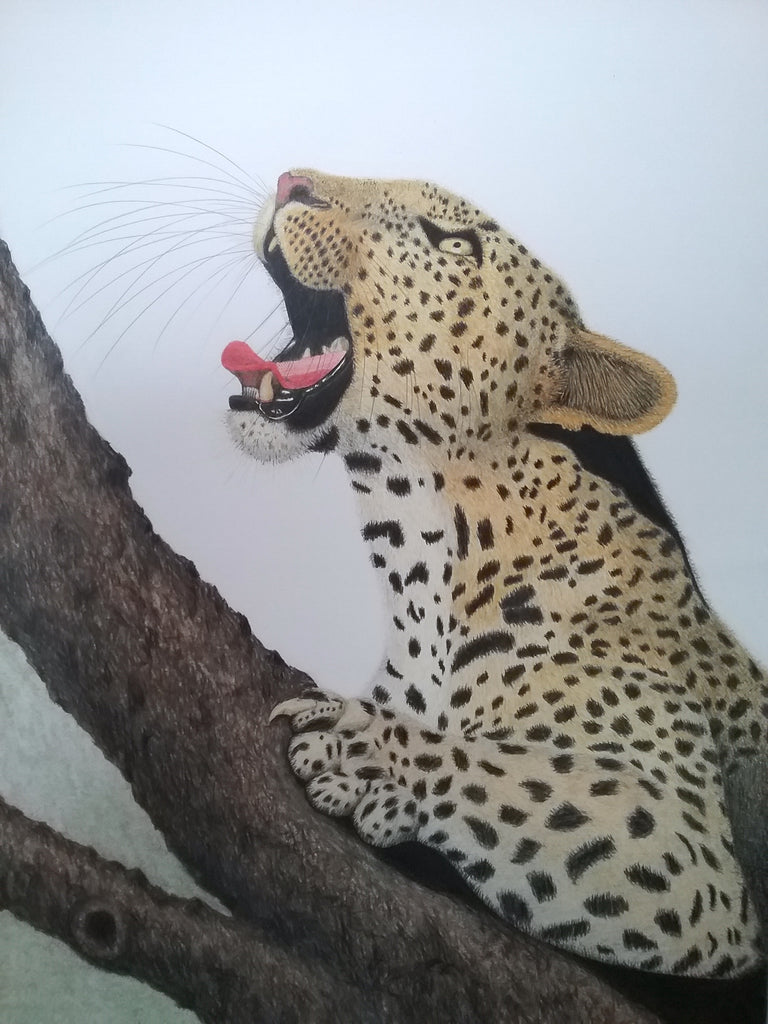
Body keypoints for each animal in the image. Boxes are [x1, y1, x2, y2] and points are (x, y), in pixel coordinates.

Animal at [221, 169, 767, 981]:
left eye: (454, 243)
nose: (291, 183)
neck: (421, 565)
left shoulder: (697, 866)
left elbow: (522, 777)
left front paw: (362, 747)